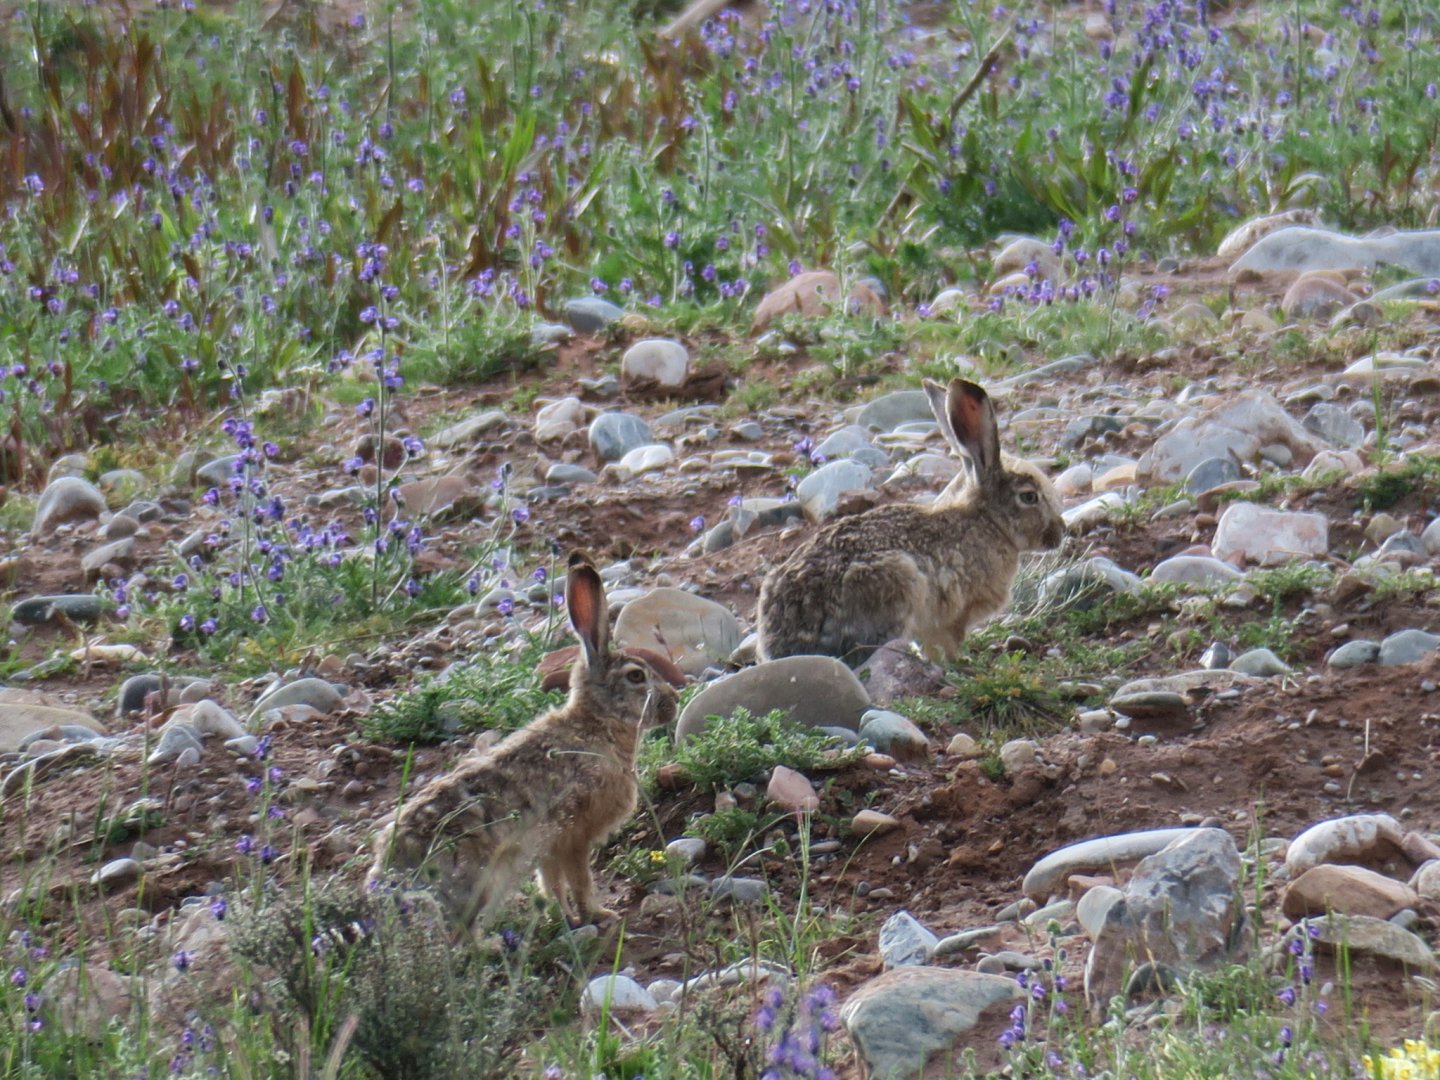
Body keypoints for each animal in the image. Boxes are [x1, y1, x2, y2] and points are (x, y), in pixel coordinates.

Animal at [367, 551, 679, 929]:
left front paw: (564, 918)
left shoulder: (549, 847)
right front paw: (599, 914)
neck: (596, 722)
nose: (675, 700)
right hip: (478, 886)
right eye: (636, 676)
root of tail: (391, 877)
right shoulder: (574, 835)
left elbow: (551, 883)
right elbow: (579, 879)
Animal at [756, 377, 1065, 666]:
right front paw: (959, 664)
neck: (989, 521)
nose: (1061, 532)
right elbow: (947, 644)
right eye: (1029, 497)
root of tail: (787, 646)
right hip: (894, 586)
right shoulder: (954, 615)